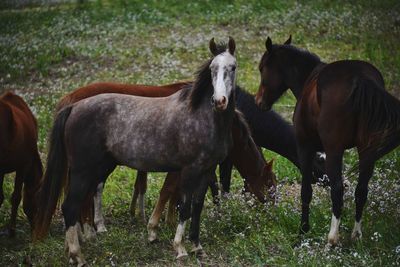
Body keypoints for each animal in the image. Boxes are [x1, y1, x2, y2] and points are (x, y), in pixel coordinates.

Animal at [0, 91, 42, 237]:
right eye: (39, 201)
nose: (36, 230)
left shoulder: (2, 171)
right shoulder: (23, 166)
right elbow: (16, 197)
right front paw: (12, 230)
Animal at [34, 37, 238, 266]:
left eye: (232, 67)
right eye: (212, 69)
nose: (219, 101)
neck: (202, 118)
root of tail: (73, 107)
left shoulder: (207, 170)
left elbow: (197, 206)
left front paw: (197, 247)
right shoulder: (189, 171)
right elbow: (185, 208)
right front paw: (180, 248)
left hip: (97, 169)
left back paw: (72, 251)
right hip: (82, 172)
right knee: (70, 207)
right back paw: (78, 256)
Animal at [256, 36, 400, 247]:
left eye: (262, 68)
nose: (259, 102)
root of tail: (359, 78)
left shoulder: (305, 148)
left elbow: (306, 191)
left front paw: (303, 231)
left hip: (334, 151)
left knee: (337, 190)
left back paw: (332, 238)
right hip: (367, 151)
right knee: (361, 190)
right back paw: (356, 235)